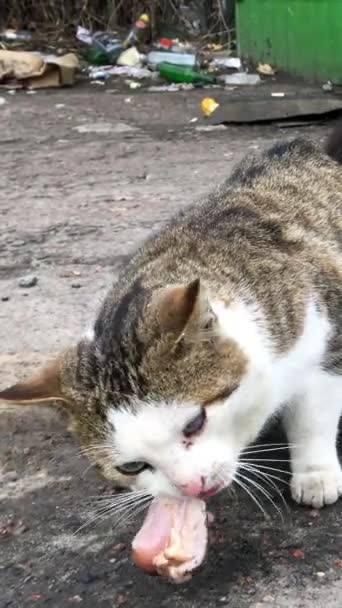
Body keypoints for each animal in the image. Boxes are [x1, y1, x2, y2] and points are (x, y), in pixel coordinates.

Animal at [2, 124, 342, 512]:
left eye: (194, 423)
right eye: (132, 466)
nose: (192, 486)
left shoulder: (325, 328)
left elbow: (313, 416)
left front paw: (315, 474)